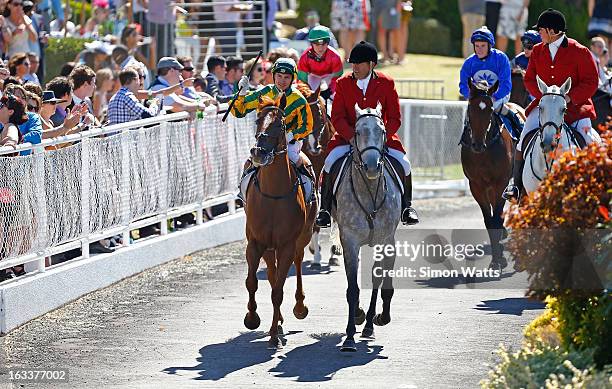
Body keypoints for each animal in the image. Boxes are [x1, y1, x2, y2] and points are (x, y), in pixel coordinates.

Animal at [241, 92, 316, 348]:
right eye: (257, 120)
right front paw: (252, 318)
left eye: (280, 125)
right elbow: (253, 282)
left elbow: (278, 291)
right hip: (267, 247)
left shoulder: (286, 245)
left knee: (298, 262)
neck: (273, 194)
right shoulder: (255, 243)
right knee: (272, 274)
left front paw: (274, 334)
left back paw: (299, 307)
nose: (258, 152)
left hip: (302, 238)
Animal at [332, 103, 404, 352]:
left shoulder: (386, 240)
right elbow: (353, 288)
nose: (372, 166)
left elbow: (380, 281)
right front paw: (350, 336)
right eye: (357, 132)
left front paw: (377, 320)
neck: (370, 190)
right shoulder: (350, 241)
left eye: (382, 131)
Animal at [460, 79, 520, 270]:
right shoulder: (476, 185)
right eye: (470, 108)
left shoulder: (500, 182)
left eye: (490, 109)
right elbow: (489, 220)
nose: (478, 145)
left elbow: (497, 219)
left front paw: (498, 259)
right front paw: (496, 258)